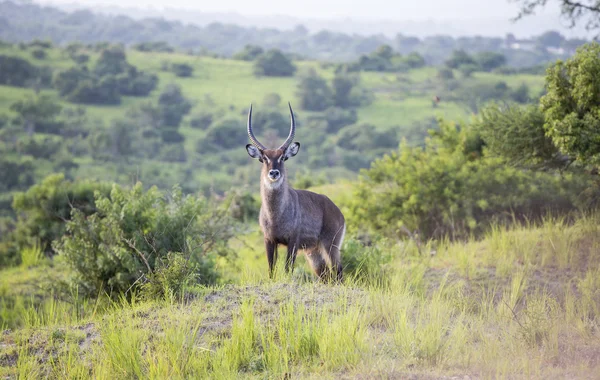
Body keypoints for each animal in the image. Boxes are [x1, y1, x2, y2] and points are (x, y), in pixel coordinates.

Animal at [245, 102, 346, 280]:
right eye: (264, 158)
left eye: (282, 157)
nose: (274, 173)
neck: (276, 215)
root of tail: (338, 211)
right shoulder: (269, 240)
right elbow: (271, 269)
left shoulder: (293, 241)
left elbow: (287, 269)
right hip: (314, 252)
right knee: (326, 275)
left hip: (330, 246)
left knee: (338, 272)